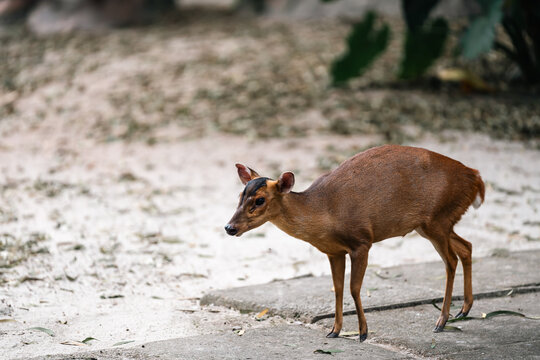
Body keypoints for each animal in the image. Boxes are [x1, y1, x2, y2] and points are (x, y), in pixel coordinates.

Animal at [224, 143, 486, 340]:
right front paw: (334, 331)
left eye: (259, 200)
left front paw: (362, 333)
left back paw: (441, 321)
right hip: (433, 224)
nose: (229, 227)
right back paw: (464, 310)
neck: (323, 212)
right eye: (240, 195)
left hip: (437, 220)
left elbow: (354, 287)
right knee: (467, 247)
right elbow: (338, 288)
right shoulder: (333, 251)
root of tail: (476, 177)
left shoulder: (361, 241)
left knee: (451, 260)